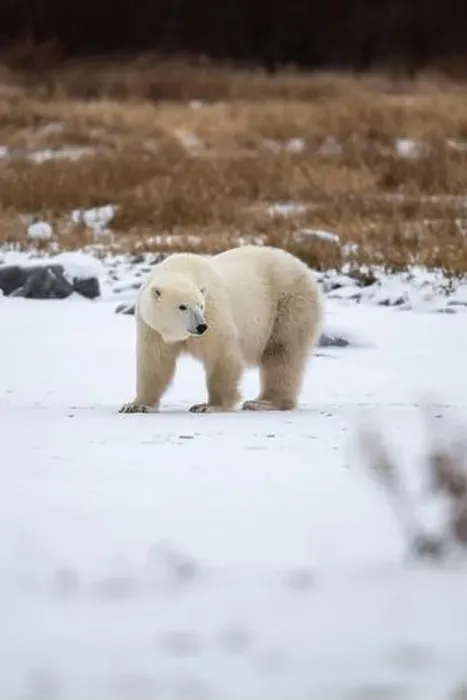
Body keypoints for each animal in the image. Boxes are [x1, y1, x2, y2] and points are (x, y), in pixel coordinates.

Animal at [119, 245, 323, 414]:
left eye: (200, 305)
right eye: (182, 306)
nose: (201, 326)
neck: (182, 267)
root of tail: (304, 267)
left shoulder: (214, 312)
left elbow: (222, 355)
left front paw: (208, 406)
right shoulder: (152, 328)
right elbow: (155, 362)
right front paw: (137, 405)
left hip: (289, 304)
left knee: (282, 353)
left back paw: (263, 403)